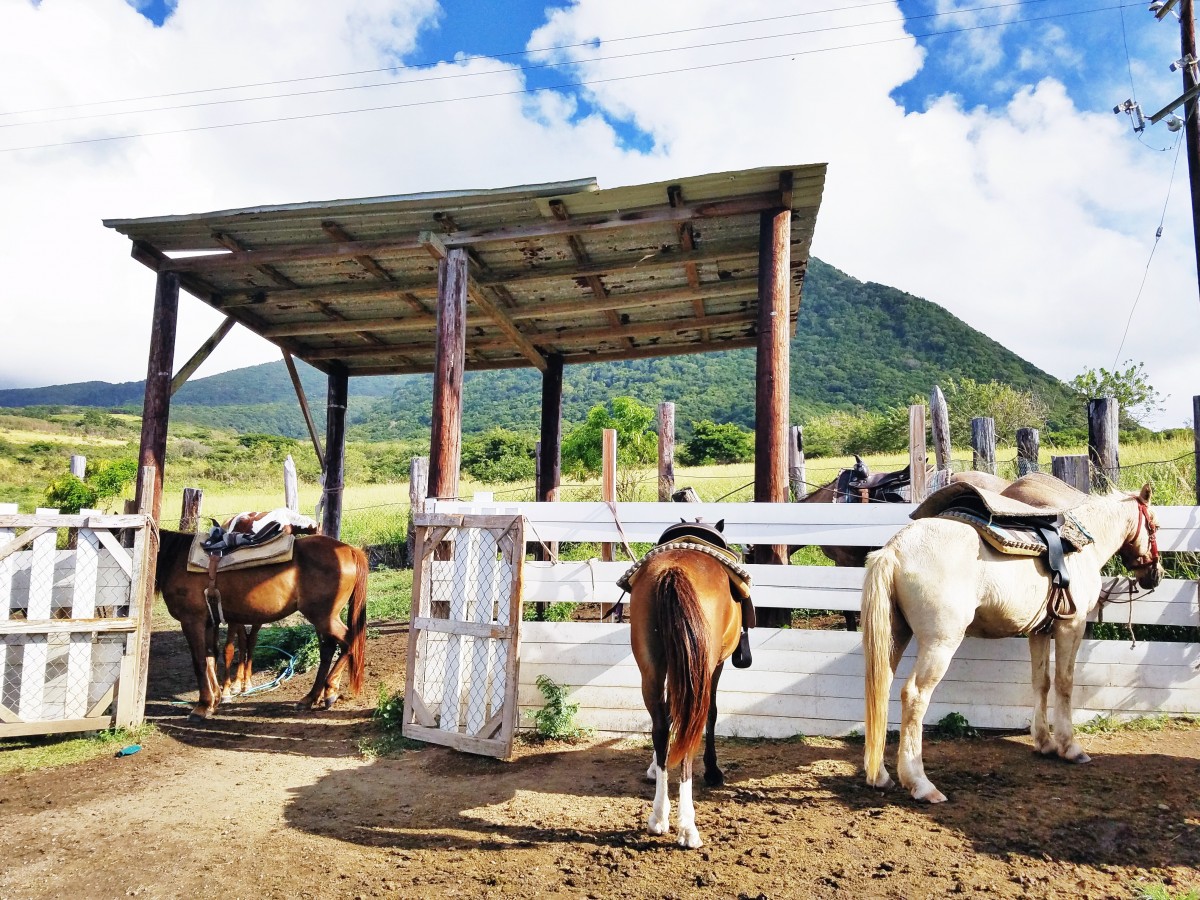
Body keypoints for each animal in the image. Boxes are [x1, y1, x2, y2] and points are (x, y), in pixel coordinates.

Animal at [157, 532, 367, 724]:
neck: (176, 559)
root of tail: (350, 550)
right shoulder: (209, 623)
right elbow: (210, 659)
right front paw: (214, 701)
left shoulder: (191, 621)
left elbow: (199, 663)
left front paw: (202, 707)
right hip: (323, 619)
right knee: (328, 650)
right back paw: (311, 697)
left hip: (324, 618)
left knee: (349, 642)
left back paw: (329, 690)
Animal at [628, 547, 739, 849]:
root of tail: (673, 571)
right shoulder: (716, 665)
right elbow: (712, 713)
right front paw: (713, 771)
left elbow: (666, 718)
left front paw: (655, 765)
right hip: (700, 670)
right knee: (690, 731)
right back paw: (688, 827)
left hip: (651, 669)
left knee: (661, 727)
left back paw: (658, 816)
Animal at [864, 487, 1161, 801]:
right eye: (1154, 525)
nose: (1155, 575)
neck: (1082, 548)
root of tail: (893, 550)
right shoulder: (1071, 626)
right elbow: (1064, 682)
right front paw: (1069, 747)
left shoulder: (1039, 631)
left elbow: (1041, 682)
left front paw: (1045, 743)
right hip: (940, 644)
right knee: (914, 696)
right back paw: (921, 784)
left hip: (895, 637)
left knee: (881, 689)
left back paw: (880, 776)